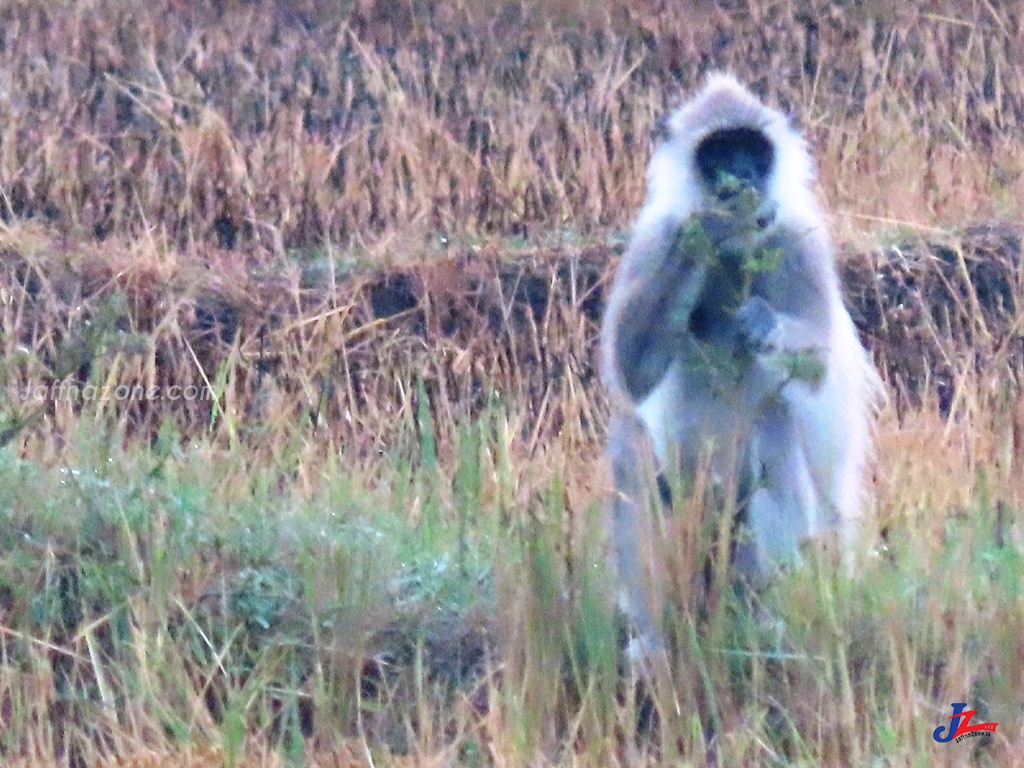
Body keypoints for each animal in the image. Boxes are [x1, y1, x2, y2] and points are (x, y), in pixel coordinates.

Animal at [598, 73, 880, 663]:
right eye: (720, 152)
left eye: (753, 150)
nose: (743, 175)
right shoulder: (656, 239)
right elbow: (629, 373)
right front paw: (710, 226)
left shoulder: (798, 244)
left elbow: (817, 368)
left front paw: (761, 321)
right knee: (630, 442)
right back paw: (655, 639)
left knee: (775, 424)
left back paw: (767, 622)